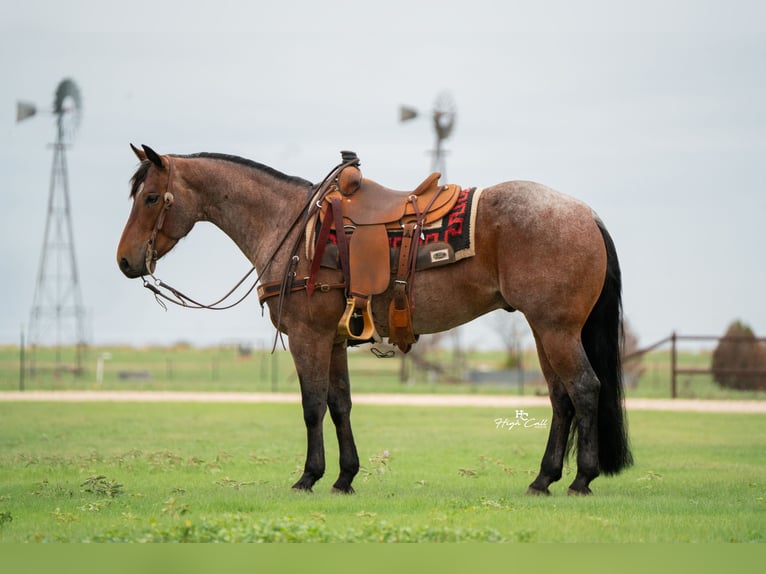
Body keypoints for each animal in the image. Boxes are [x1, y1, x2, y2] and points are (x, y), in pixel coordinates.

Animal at [116, 144, 632, 496]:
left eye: (152, 198)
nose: (124, 261)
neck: (290, 226)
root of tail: (585, 213)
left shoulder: (308, 337)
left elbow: (312, 405)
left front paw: (308, 476)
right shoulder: (334, 340)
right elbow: (340, 404)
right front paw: (344, 476)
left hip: (556, 329)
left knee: (584, 389)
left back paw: (580, 480)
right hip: (545, 331)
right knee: (561, 398)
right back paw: (543, 479)